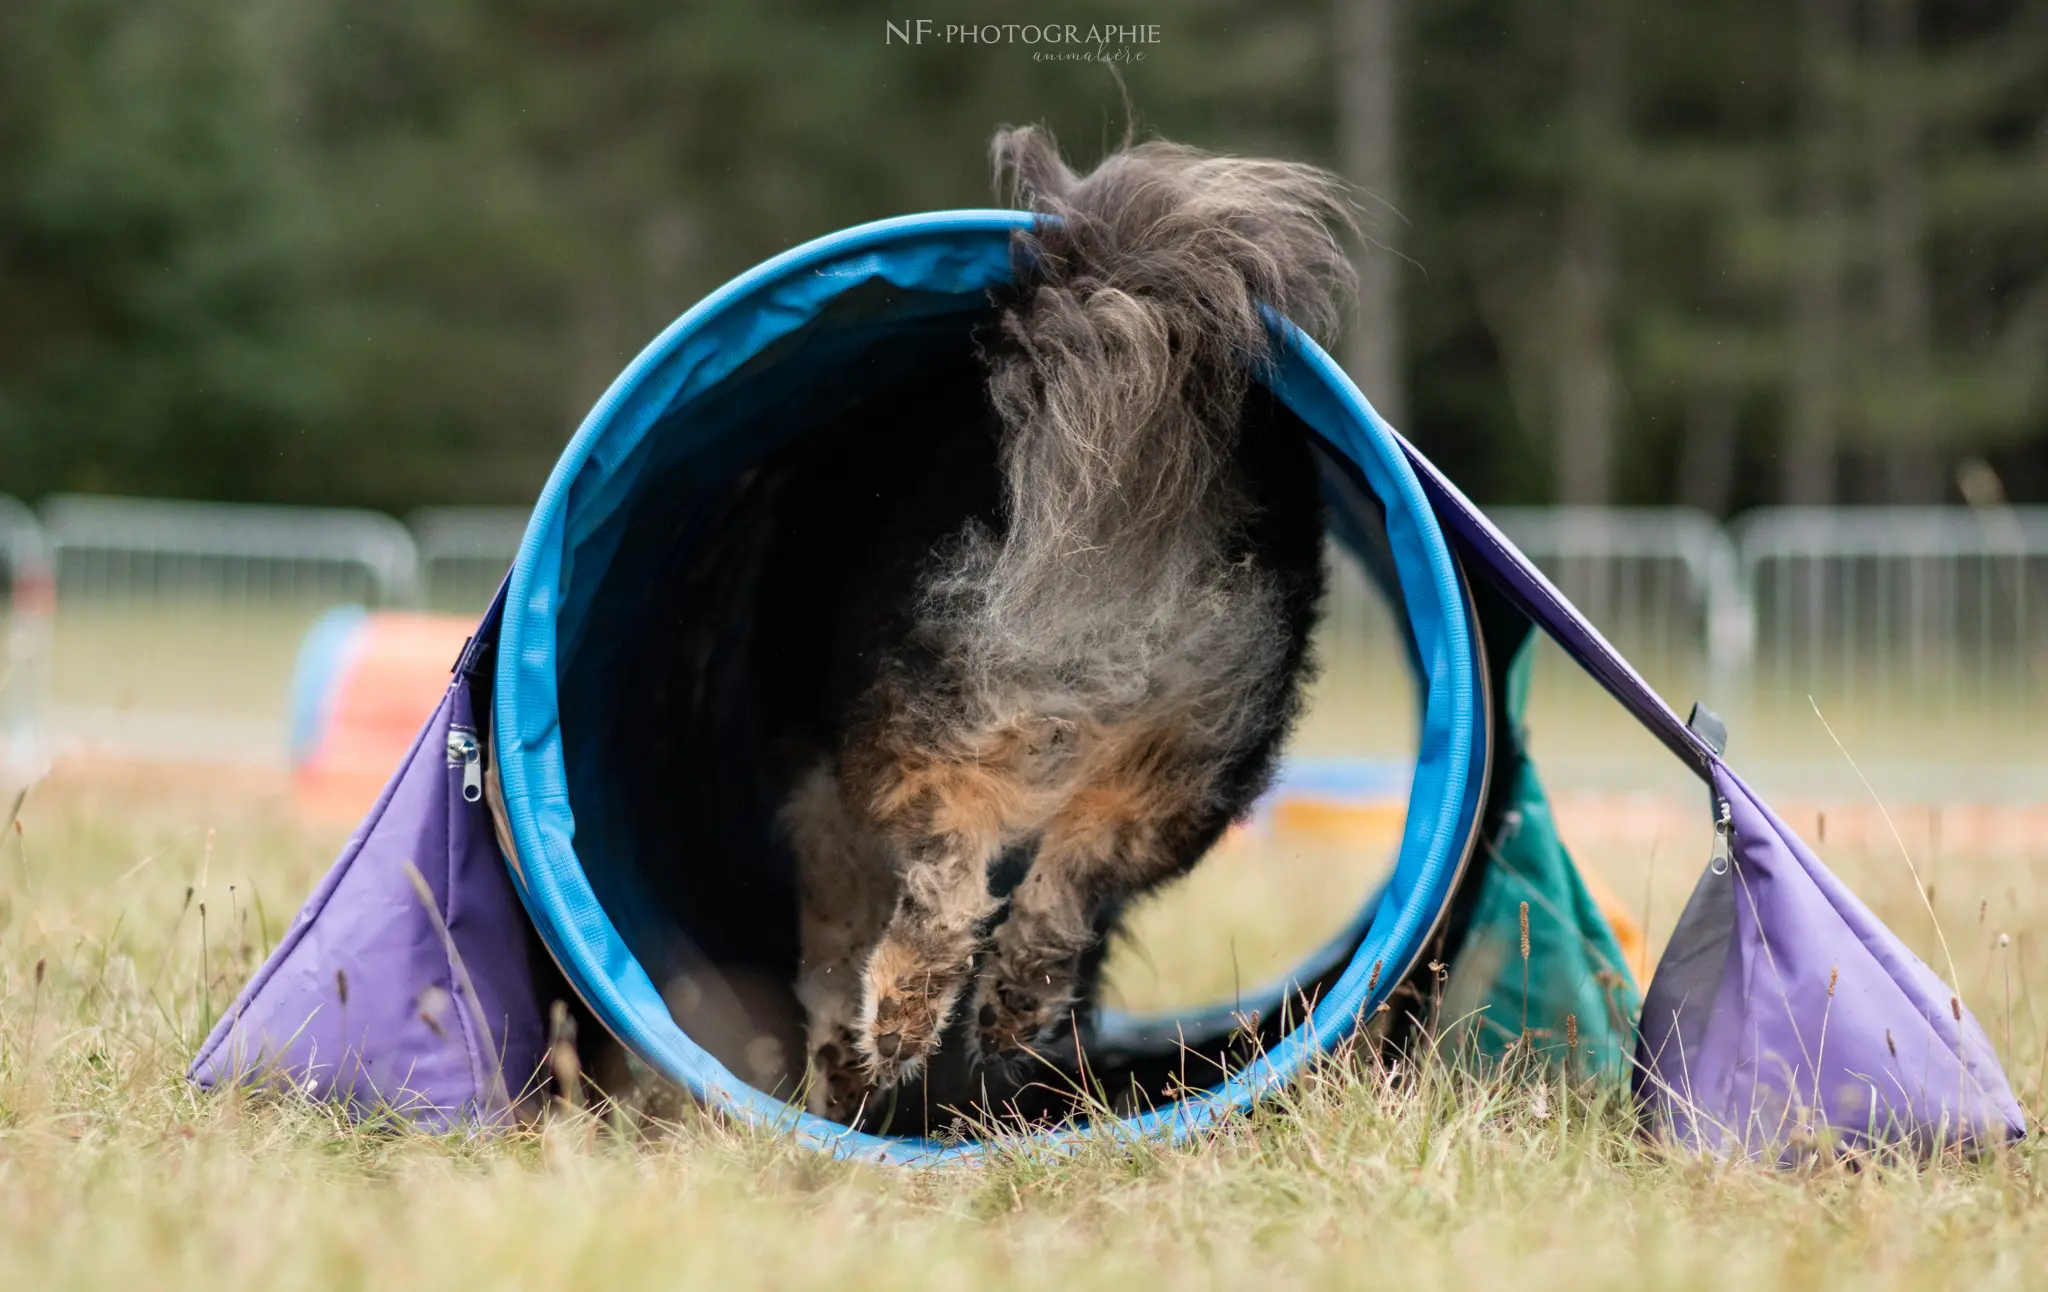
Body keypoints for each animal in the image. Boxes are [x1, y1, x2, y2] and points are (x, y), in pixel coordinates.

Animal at [753, 126, 1359, 1130]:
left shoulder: (818, 802)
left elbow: (831, 934)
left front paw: (842, 1064)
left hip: (920, 724)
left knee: (946, 876)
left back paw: (900, 1025)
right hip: (1185, 757)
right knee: (1067, 889)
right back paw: (1007, 1012)